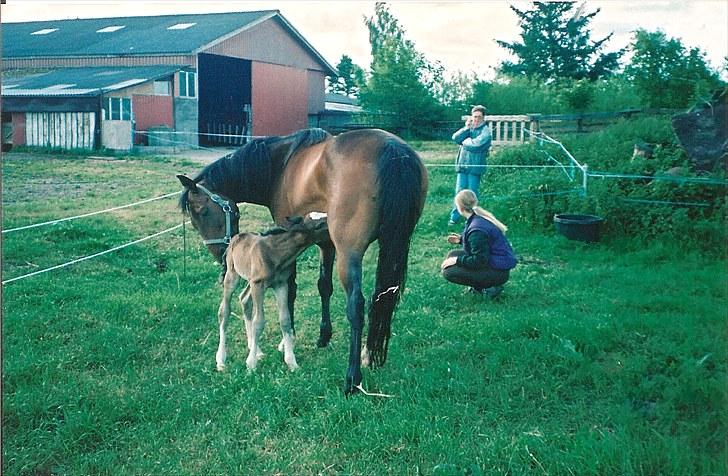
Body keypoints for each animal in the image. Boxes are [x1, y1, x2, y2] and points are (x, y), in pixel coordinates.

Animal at [216, 214, 330, 374]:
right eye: (320, 225)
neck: (277, 253)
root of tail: (234, 238)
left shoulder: (280, 284)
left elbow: (285, 319)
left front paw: (291, 362)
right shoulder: (258, 285)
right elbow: (259, 322)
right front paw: (251, 364)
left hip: (251, 281)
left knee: (244, 299)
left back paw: (256, 350)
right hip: (233, 276)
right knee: (224, 311)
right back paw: (221, 360)